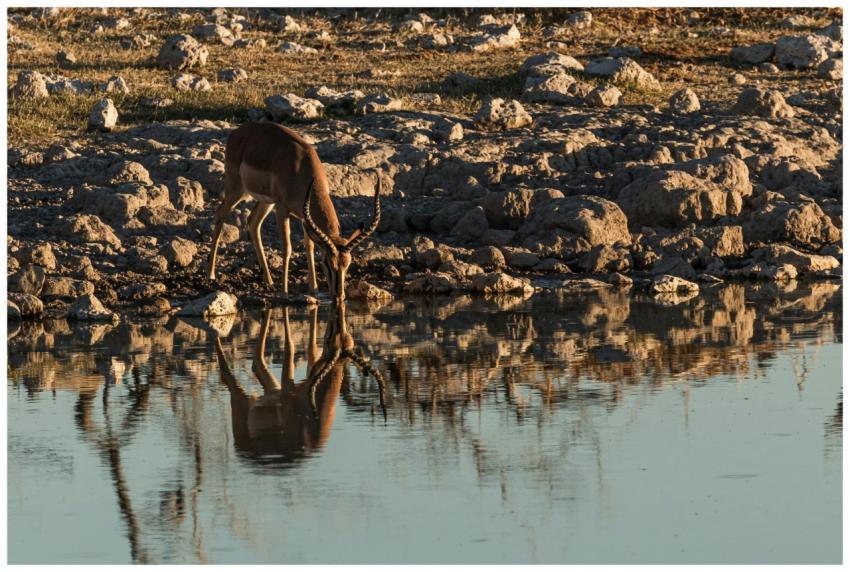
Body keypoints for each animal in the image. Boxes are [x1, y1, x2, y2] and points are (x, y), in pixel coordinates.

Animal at [207, 122, 381, 302]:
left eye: (347, 263)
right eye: (327, 262)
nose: (339, 294)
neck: (300, 168)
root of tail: (236, 132)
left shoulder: (305, 217)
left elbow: (309, 246)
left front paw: (314, 289)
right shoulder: (282, 210)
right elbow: (287, 247)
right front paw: (284, 292)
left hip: (266, 201)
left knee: (253, 222)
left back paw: (268, 280)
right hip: (237, 191)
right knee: (220, 213)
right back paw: (211, 274)